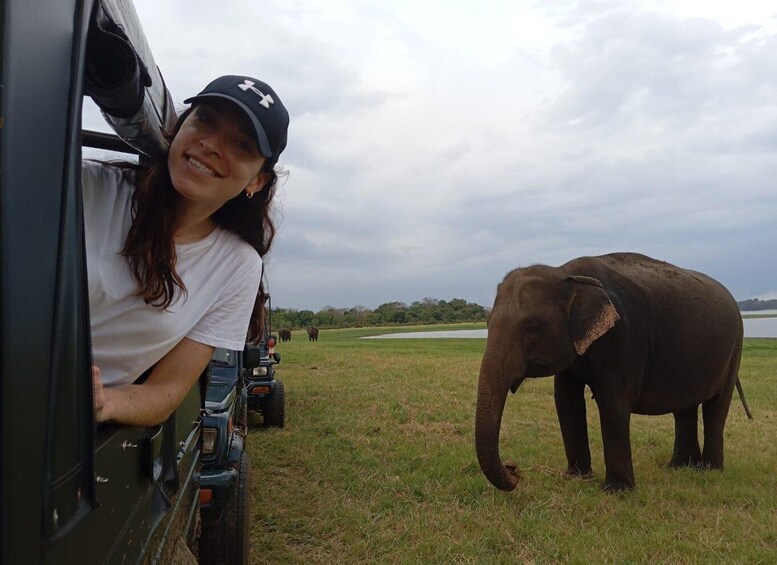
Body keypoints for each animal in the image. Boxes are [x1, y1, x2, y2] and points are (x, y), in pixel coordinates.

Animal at [472, 253, 752, 492]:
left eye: (530, 328)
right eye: (487, 323)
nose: (514, 469)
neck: (565, 273)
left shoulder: (624, 337)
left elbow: (613, 402)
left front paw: (617, 491)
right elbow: (566, 401)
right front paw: (576, 478)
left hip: (735, 346)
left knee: (717, 405)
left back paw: (710, 470)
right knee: (685, 408)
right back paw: (679, 467)